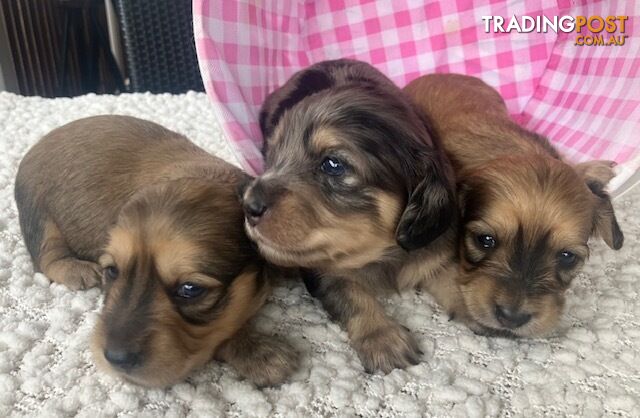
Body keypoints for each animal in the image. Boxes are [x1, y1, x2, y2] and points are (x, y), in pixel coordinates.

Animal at [13, 115, 298, 388]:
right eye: (112, 271)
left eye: (191, 289)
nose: (115, 359)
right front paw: (257, 353)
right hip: (41, 216)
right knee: (47, 257)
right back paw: (76, 269)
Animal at [242, 58, 458, 372]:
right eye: (272, 157)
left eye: (333, 165)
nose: (249, 206)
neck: (381, 253)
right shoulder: (321, 267)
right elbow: (350, 294)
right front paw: (383, 339)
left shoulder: (434, 247)